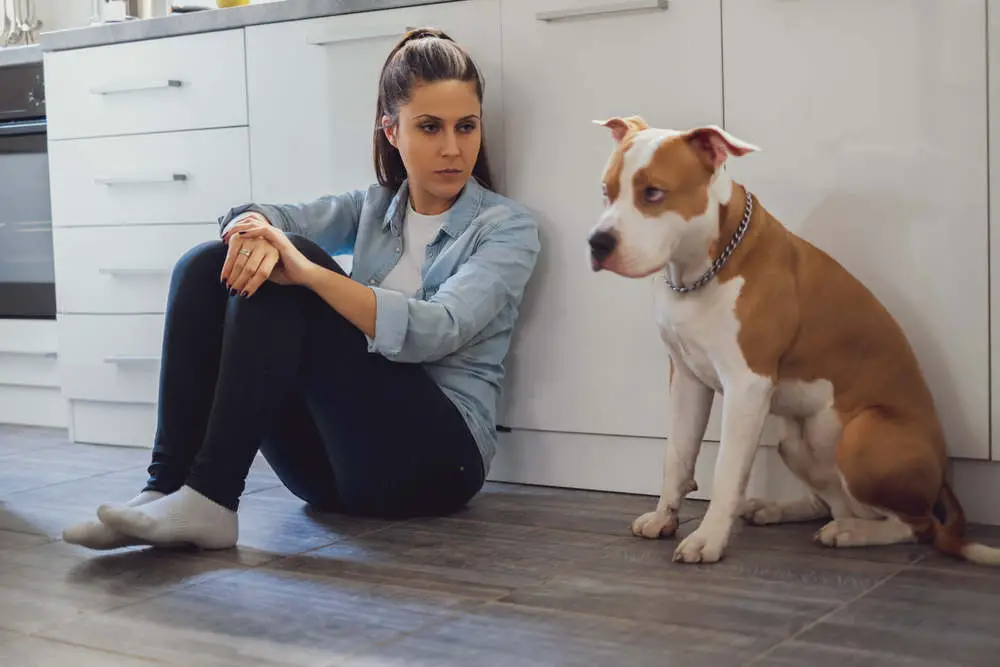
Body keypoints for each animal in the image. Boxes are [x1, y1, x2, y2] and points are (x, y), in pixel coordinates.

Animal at [588, 113, 1000, 564]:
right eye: (606, 191)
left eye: (653, 193)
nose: (597, 242)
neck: (698, 270)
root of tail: (944, 478)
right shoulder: (686, 378)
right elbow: (676, 455)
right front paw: (665, 517)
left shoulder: (746, 386)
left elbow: (727, 470)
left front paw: (707, 538)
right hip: (794, 442)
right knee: (834, 502)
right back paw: (778, 509)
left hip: (863, 435)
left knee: (916, 527)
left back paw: (851, 532)